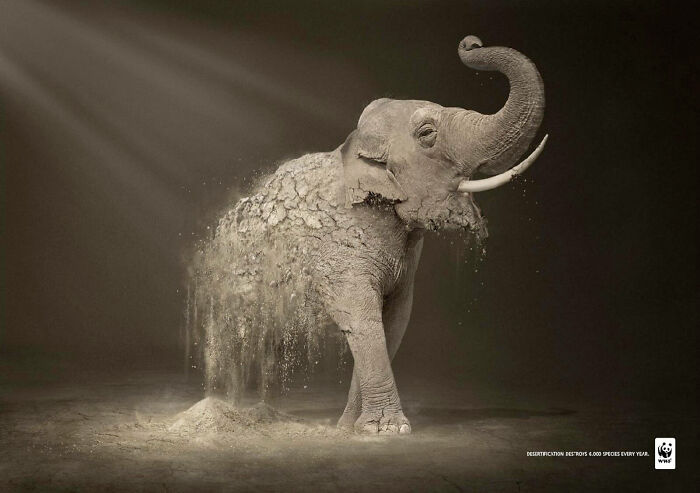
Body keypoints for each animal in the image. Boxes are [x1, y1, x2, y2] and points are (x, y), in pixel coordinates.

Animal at [190, 35, 546, 435]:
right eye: (427, 135)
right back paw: (223, 410)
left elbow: (394, 321)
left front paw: (350, 428)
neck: (353, 148)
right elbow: (360, 316)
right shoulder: (338, 250)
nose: (471, 42)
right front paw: (388, 430)